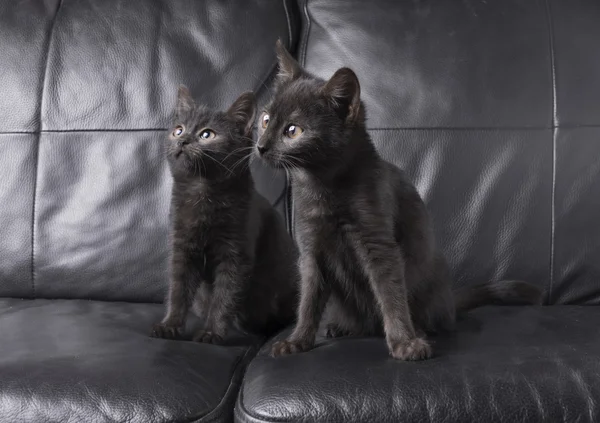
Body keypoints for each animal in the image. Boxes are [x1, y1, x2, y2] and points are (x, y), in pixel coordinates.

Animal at [152, 86, 298, 344]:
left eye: (207, 134)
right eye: (178, 129)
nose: (182, 139)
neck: (202, 193)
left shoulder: (236, 255)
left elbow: (224, 296)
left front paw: (211, 333)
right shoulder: (182, 247)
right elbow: (178, 289)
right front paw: (169, 326)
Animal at [255, 41, 540, 362]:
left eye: (293, 131)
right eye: (265, 120)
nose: (261, 146)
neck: (323, 188)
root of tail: (451, 301)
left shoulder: (380, 244)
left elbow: (390, 294)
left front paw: (405, 342)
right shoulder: (311, 251)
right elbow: (308, 301)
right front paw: (297, 341)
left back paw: (424, 329)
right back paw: (340, 326)